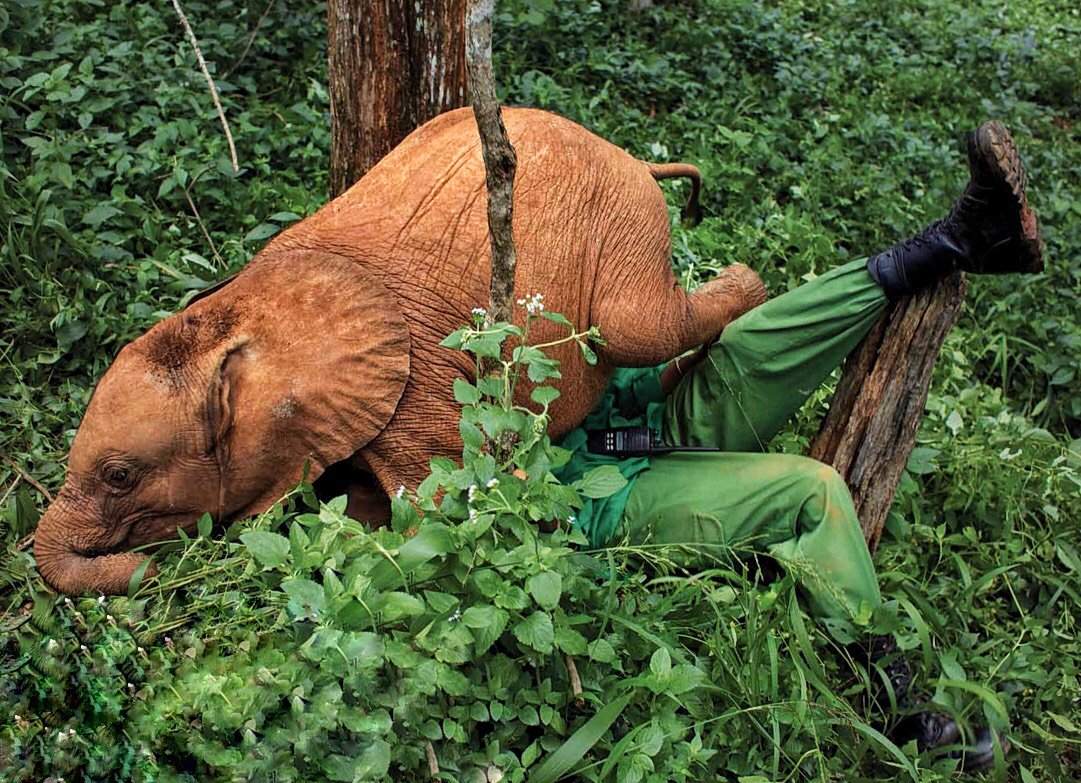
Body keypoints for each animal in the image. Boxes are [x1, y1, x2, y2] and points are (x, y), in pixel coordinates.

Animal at [33, 107, 766, 595]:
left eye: (119, 476)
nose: (154, 570)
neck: (236, 314)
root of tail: (630, 155)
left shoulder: (414, 387)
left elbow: (443, 518)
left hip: (625, 221)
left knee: (636, 327)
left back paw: (745, 288)